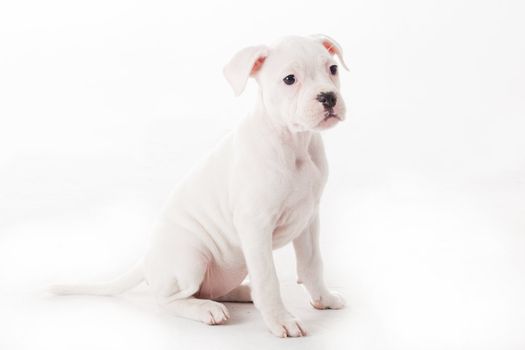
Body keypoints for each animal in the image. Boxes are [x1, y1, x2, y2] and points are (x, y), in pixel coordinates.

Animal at [50, 34, 348, 338]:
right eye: (289, 79)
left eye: (333, 69)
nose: (328, 97)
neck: (294, 142)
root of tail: (147, 260)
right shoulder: (255, 225)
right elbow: (267, 278)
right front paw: (281, 320)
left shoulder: (309, 219)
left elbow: (312, 264)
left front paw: (323, 299)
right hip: (191, 257)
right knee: (169, 299)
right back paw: (207, 309)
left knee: (211, 289)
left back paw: (243, 293)